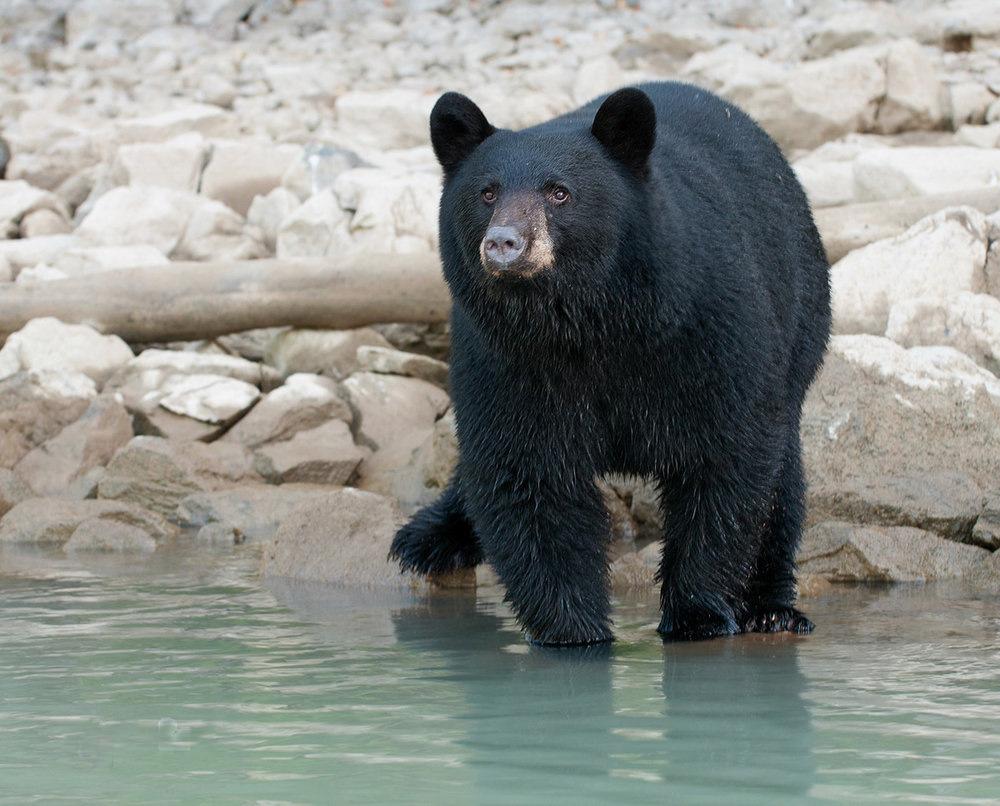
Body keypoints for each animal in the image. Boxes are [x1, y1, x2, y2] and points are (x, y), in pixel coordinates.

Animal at [389, 81, 831, 646]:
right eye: (487, 193)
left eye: (559, 192)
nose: (504, 242)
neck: (592, 325)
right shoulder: (506, 359)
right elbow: (528, 476)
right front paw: (573, 631)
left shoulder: (711, 332)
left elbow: (727, 460)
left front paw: (697, 616)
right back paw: (427, 538)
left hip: (801, 320)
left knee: (782, 478)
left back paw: (772, 610)